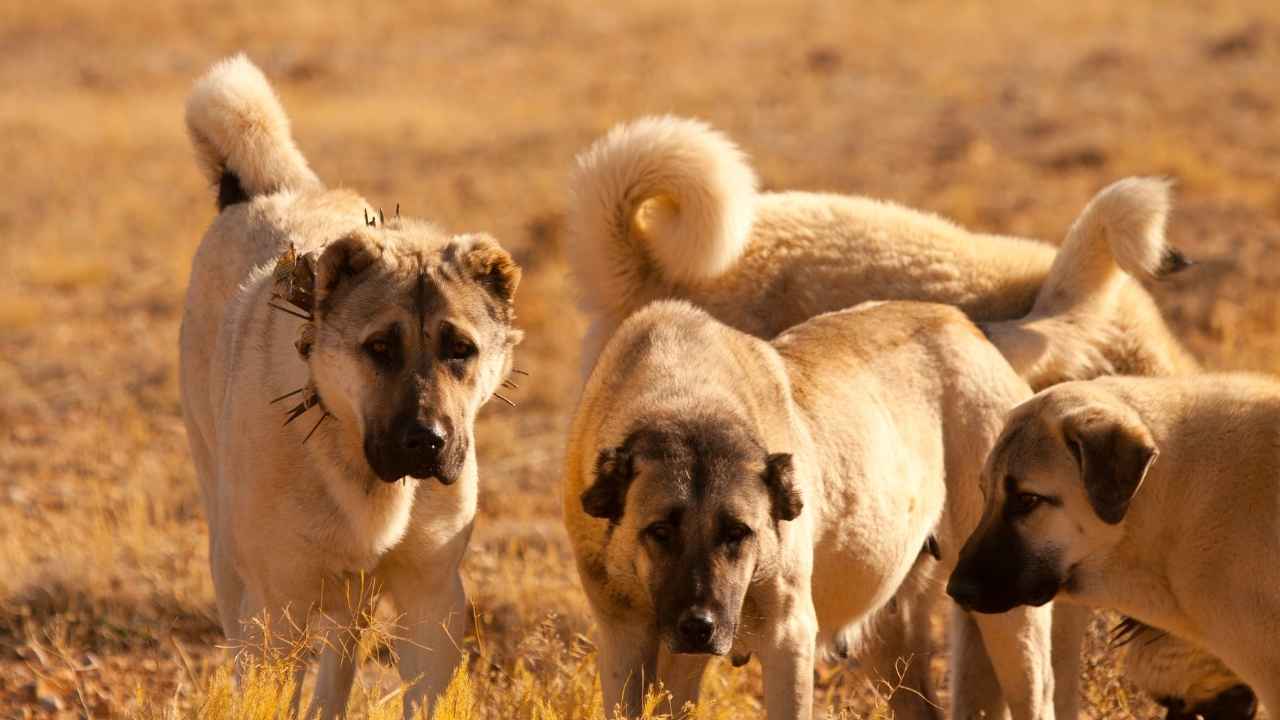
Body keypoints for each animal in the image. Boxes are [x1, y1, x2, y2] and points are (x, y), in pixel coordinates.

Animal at [177, 57, 522, 717]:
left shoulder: (430, 602)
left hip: (351, 592)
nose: (427, 442)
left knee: (340, 654)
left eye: (460, 349)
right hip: (229, 562)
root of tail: (265, 191)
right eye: (379, 348)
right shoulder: (276, 611)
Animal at [568, 297, 1059, 717]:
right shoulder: (626, 639)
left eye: (737, 533)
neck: (685, 399)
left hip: (1009, 619)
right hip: (888, 627)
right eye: (661, 531)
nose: (699, 625)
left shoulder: (789, 637)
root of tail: (968, 325)